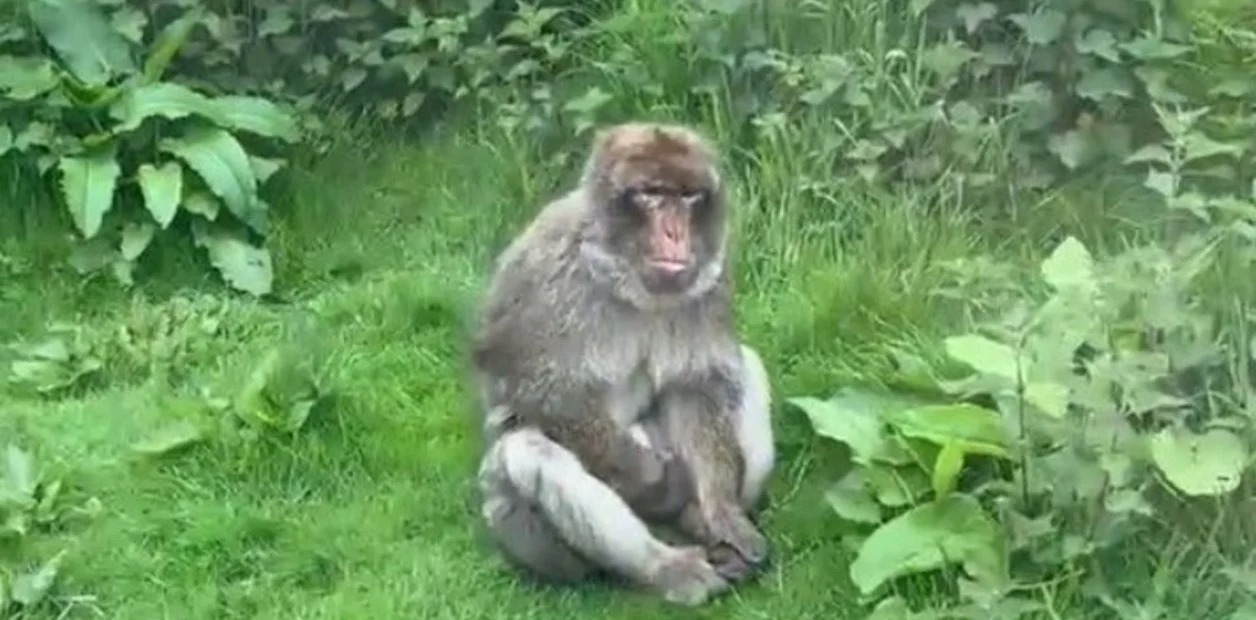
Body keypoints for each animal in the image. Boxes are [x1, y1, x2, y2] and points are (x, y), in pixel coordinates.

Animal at [469, 121, 773, 604]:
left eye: (689, 196)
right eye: (652, 193)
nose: (676, 233)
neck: (622, 277)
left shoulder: (710, 277)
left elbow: (694, 385)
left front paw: (723, 513)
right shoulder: (543, 272)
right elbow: (536, 392)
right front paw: (656, 484)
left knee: (748, 365)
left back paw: (698, 523)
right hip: (529, 537)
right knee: (527, 451)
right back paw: (668, 568)